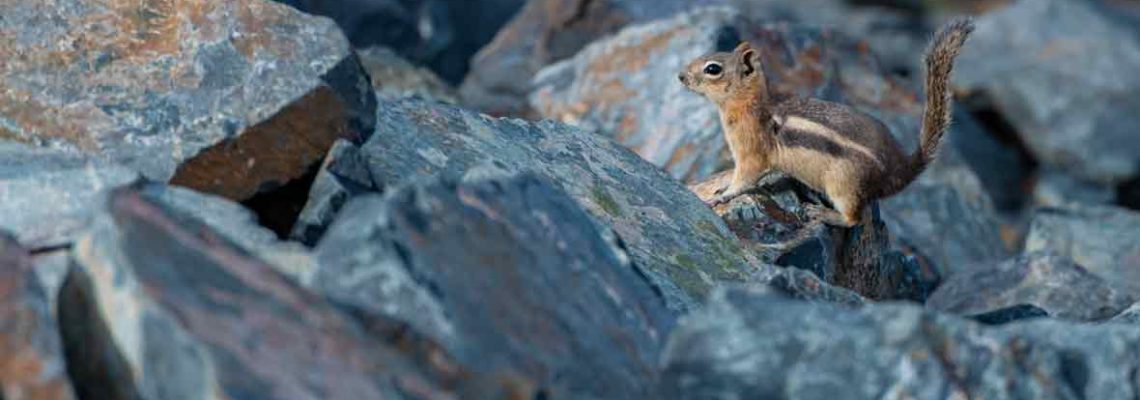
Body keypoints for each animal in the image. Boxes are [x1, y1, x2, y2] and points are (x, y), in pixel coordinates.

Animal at [674, 18, 980, 229]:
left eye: (713, 68)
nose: (679, 76)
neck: (748, 106)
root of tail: (901, 169)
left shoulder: (752, 152)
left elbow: (745, 177)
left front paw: (723, 194)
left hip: (843, 184)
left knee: (854, 218)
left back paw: (822, 213)